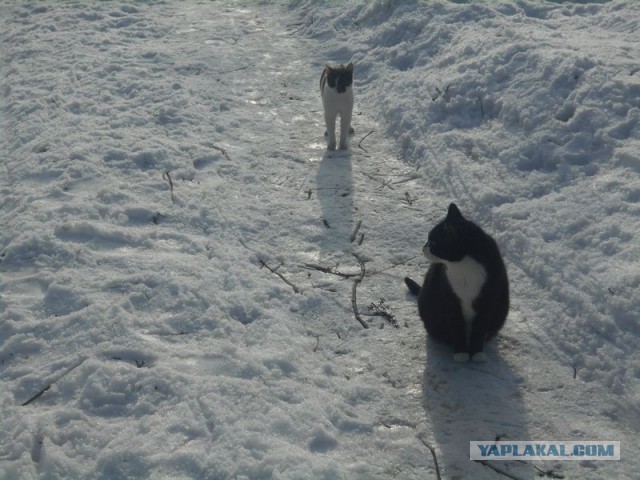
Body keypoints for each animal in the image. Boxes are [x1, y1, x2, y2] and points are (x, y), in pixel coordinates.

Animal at [404, 203, 510, 364]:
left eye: (433, 242)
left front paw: (477, 353)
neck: (463, 266)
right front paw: (461, 353)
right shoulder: (449, 298)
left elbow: (479, 328)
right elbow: (457, 326)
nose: (423, 248)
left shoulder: (488, 300)